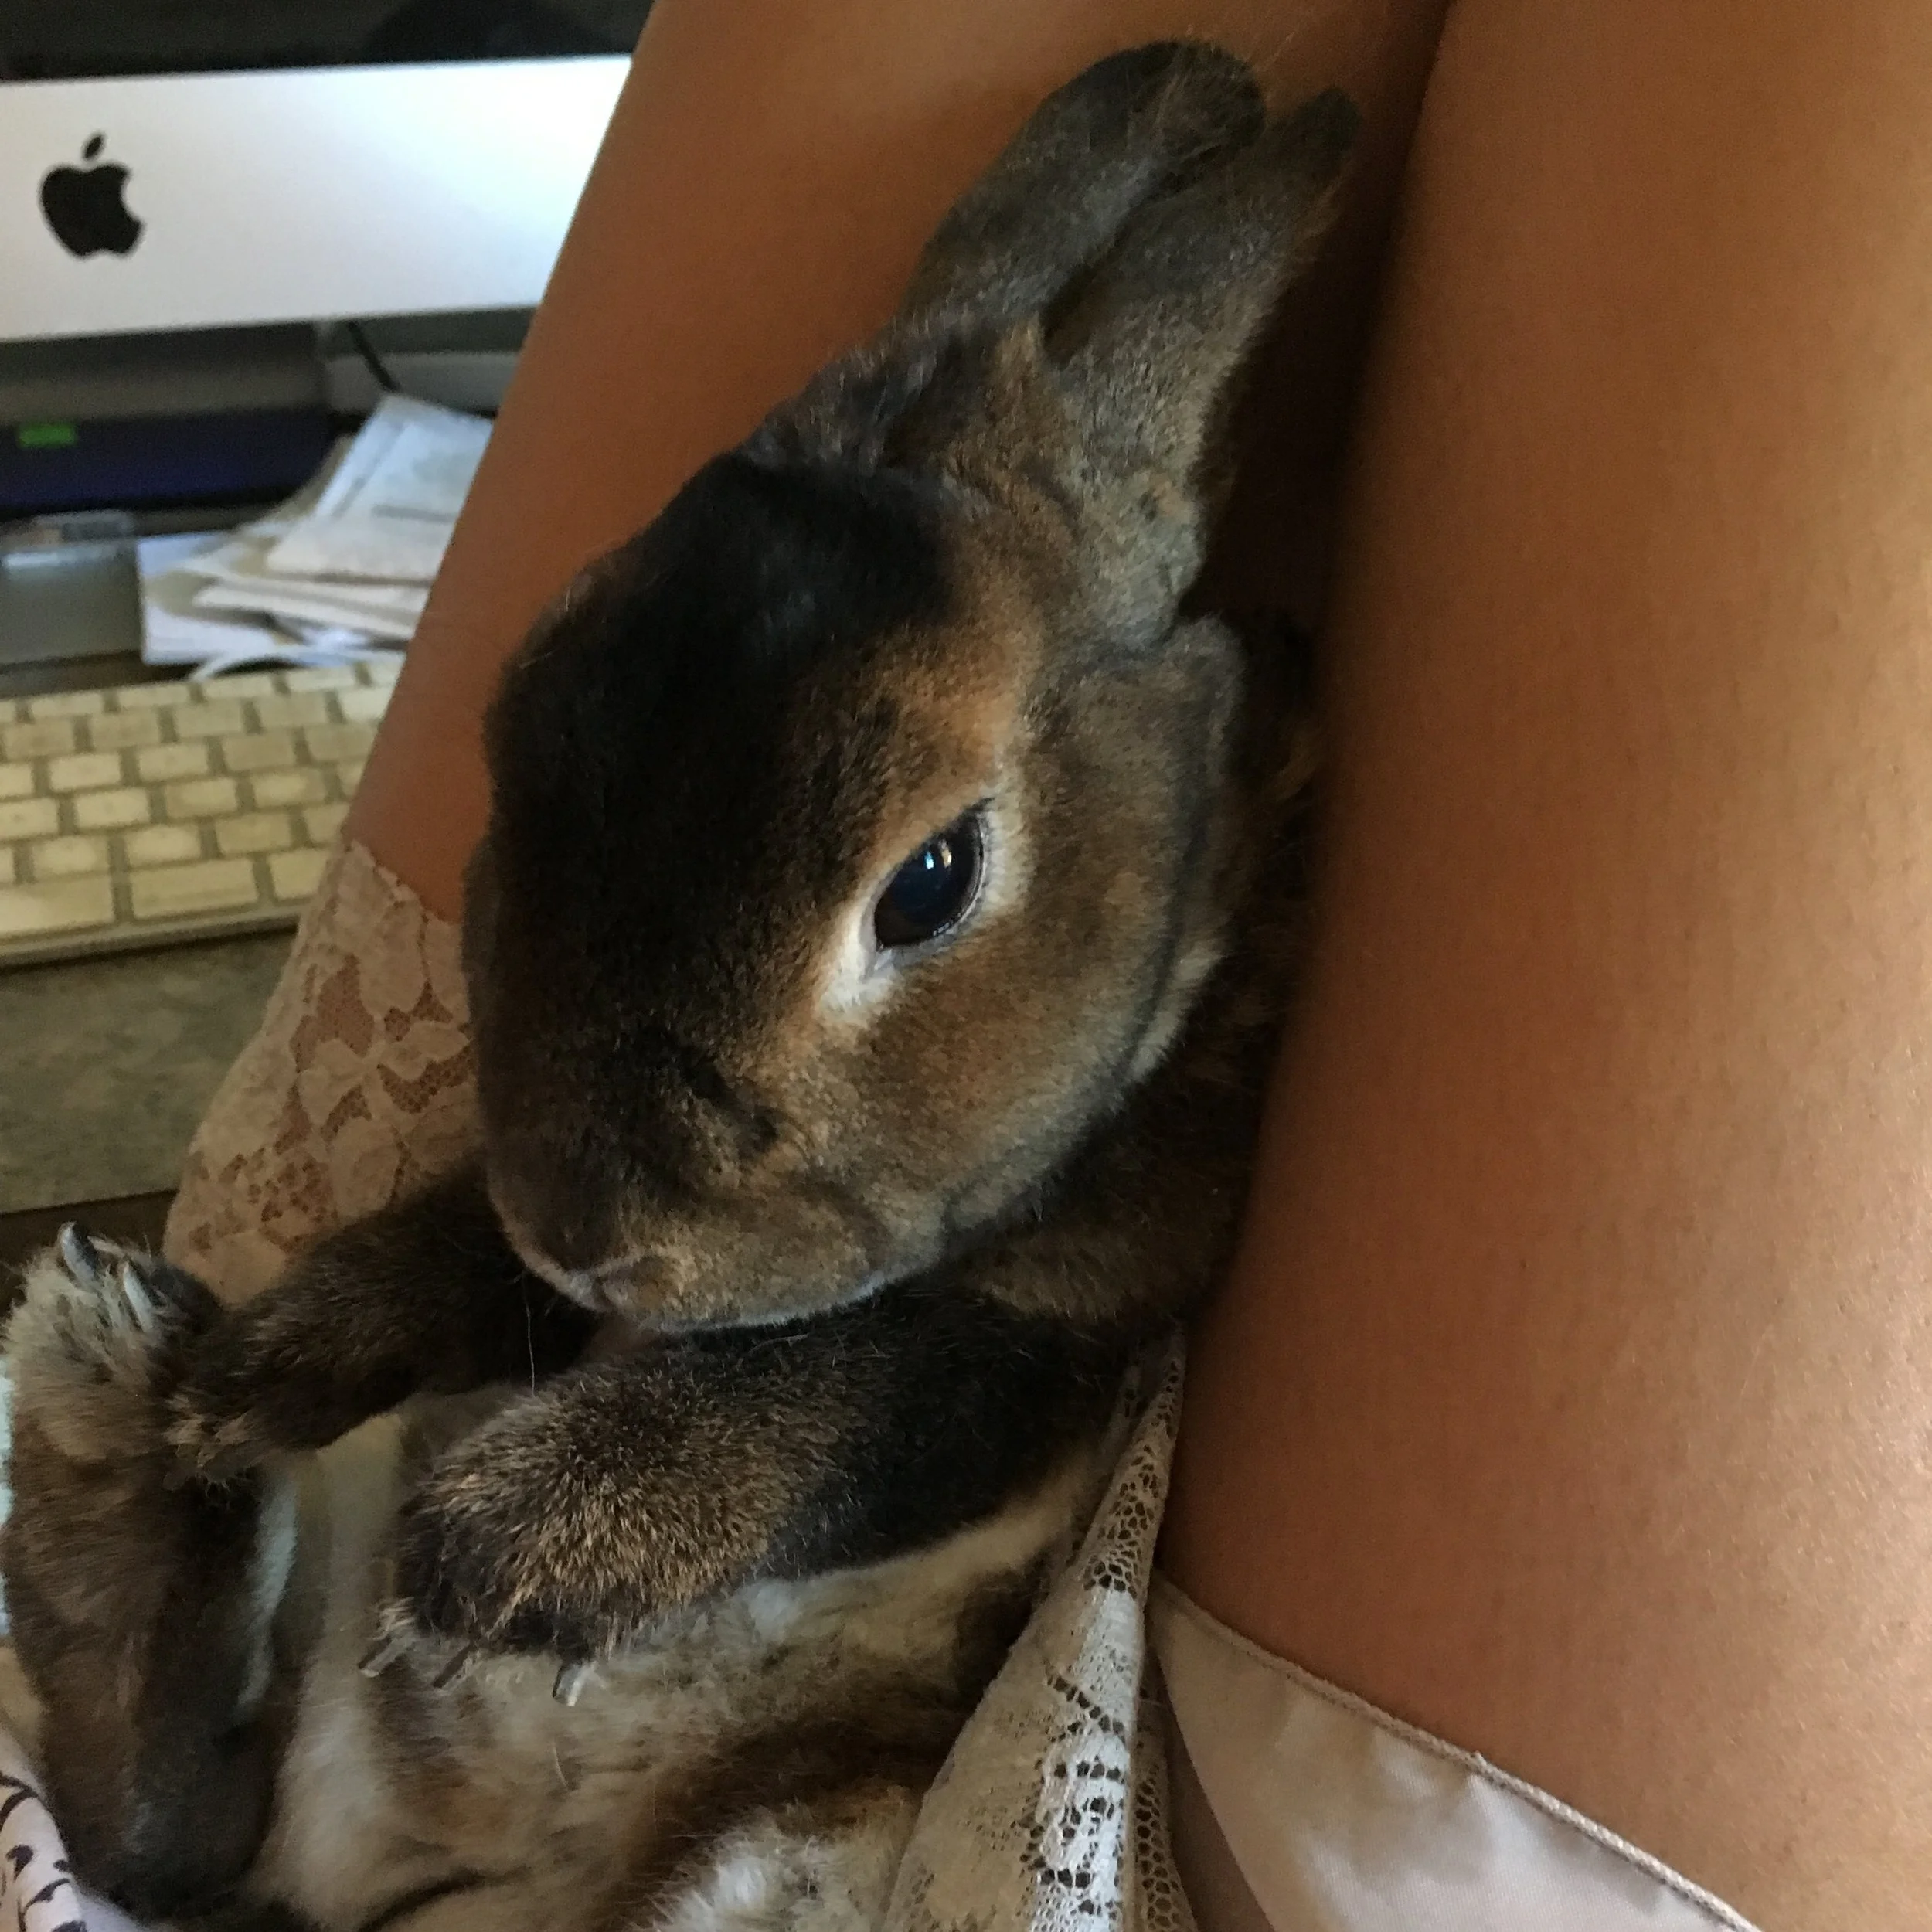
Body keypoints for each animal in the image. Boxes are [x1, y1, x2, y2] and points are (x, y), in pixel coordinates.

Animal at [1, 40, 1354, 1932]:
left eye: (930, 880)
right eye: (519, 710)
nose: (586, 1237)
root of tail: (510, 1850)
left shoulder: (1051, 1326)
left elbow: (823, 1394)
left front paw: (499, 1551)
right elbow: (455, 1258)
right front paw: (263, 1373)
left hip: (790, 1849)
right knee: (163, 1822)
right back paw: (123, 1380)